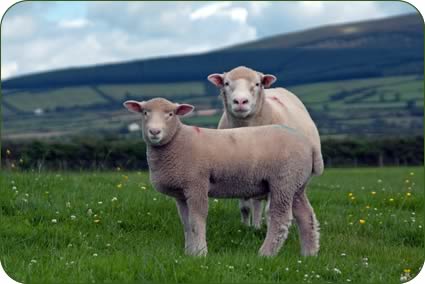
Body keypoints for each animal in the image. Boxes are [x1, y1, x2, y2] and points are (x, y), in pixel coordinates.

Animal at [122, 97, 318, 258]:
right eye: (145, 113)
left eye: (170, 114)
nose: (154, 132)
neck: (177, 140)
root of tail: (309, 145)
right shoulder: (181, 193)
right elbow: (186, 223)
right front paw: (189, 253)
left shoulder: (196, 183)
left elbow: (197, 220)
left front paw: (200, 253)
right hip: (296, 184)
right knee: (306, 216)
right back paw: (309, 253)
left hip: (284, 180)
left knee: (280, 218)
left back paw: (265, 254)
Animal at [208, 66, 322, 233]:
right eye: (226, 83)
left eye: (257, 83)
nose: (240, 101)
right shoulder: (237, 171)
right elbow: (245, 207)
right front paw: (246, 227)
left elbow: (270, 209)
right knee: (256, 202)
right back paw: (255, 226)